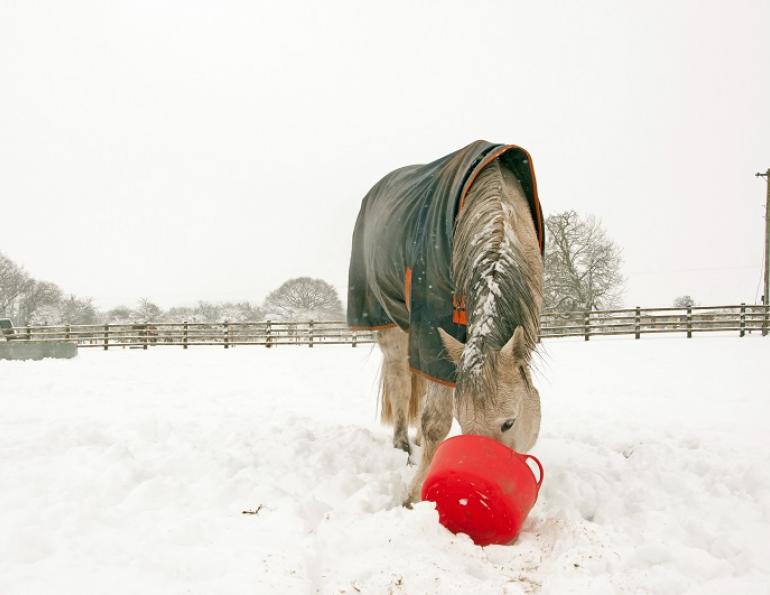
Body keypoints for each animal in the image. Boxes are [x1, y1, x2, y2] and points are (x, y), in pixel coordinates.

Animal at [347, 141, 544, 504]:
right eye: (464, 424)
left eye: (509, 423)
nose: (485, 482)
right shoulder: (432, 323)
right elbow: (435, 421)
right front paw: (415, 495)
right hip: (390, 325)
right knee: (399, 381)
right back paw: (403, 444)